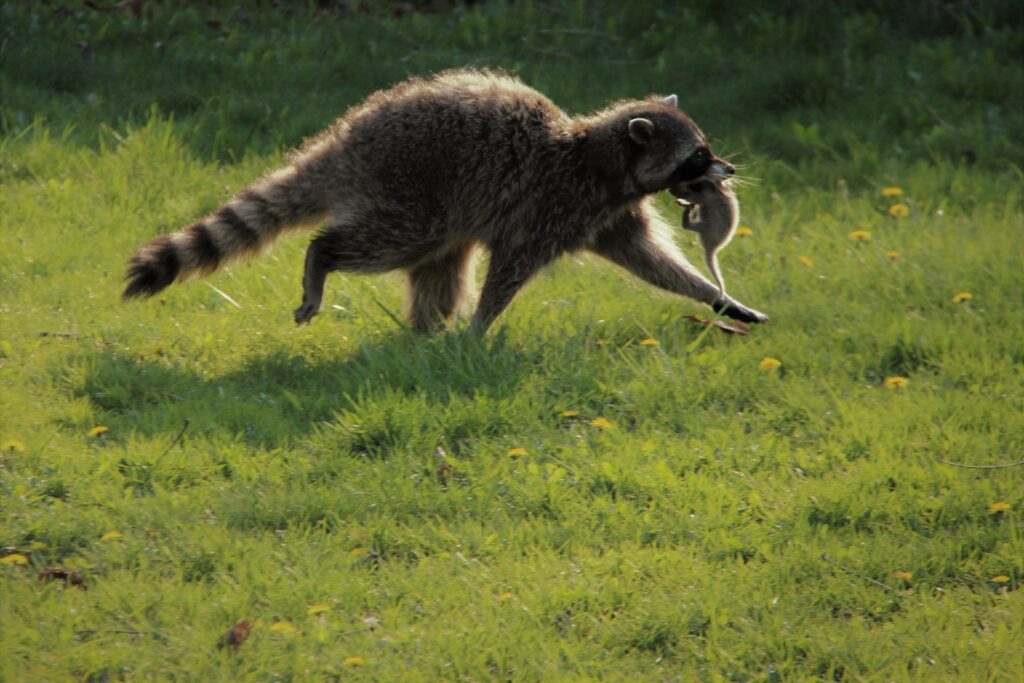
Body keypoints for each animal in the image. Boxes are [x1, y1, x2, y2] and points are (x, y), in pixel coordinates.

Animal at [123, 69, 765, 333]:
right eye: (698, 156)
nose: (729, 169)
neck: (602, 158)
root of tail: (347, 138)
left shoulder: (610, 213)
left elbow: (653, 263)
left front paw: (717, 296)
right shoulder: (554, 204)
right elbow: (511, 268)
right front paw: (481, 327)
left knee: (440, 273)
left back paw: (423, 335)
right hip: (414, 191)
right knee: (383, 244)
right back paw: (322, 259)